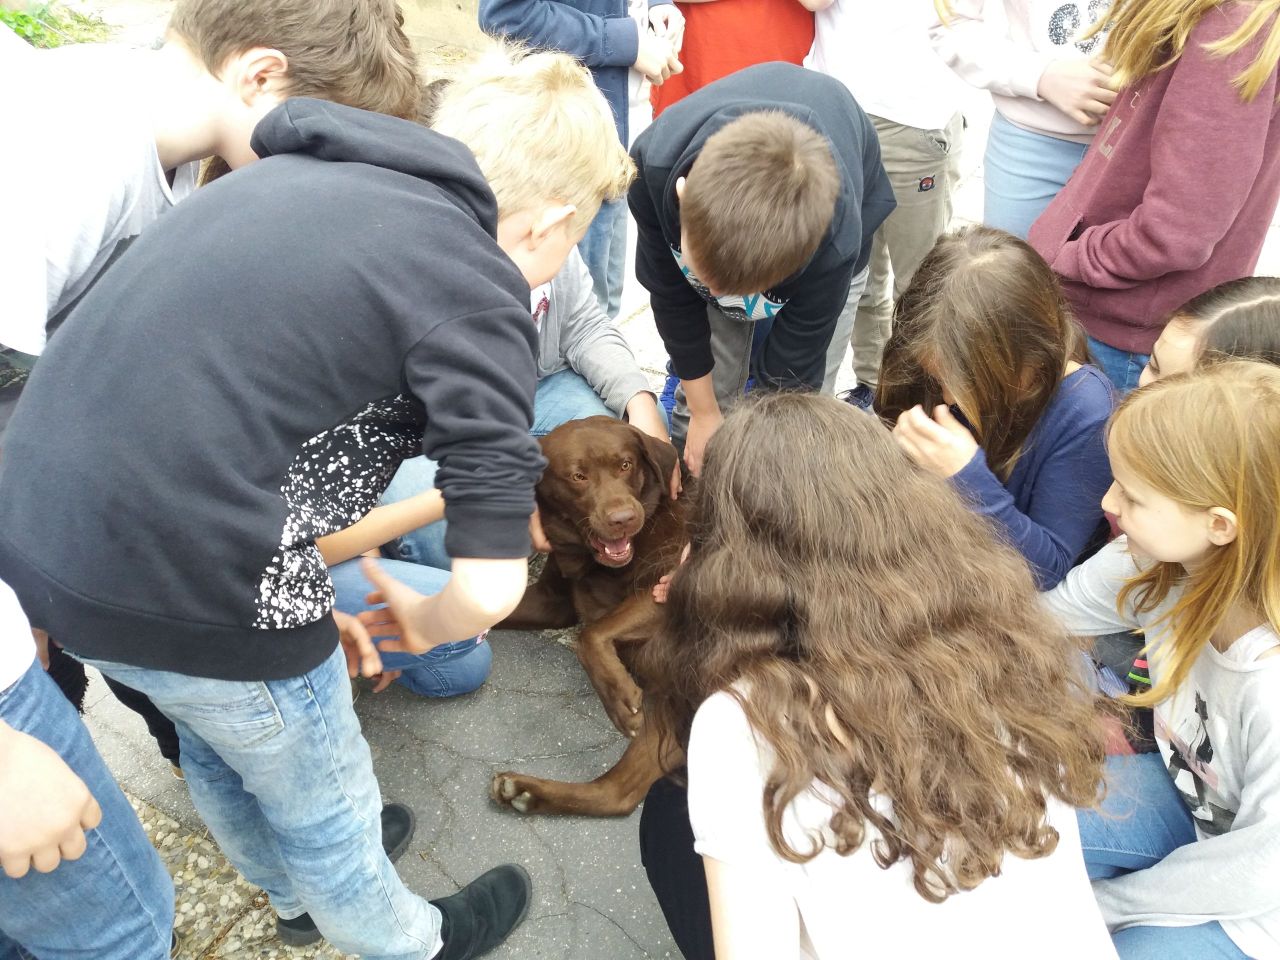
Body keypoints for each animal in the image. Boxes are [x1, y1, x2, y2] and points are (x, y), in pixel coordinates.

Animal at [488, 417, 686, 814]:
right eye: (578, 476)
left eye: (626, 465)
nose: (624, 519)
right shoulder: (551, 601)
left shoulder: (667, 588)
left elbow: (590, 634)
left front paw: (620, 698)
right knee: (618, 794)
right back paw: (526, 791)